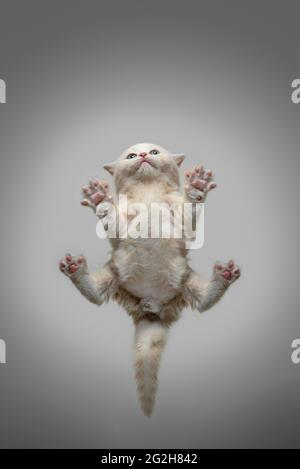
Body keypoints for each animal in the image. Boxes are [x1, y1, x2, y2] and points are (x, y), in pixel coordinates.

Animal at [59, 144, 241, 416]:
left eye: (154, 152)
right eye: (131, 156)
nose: (144, 156)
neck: (148, 192)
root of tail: (151, 308)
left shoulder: (182, 224)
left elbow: (189, 213)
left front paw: (197, 186)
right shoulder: (120, 230)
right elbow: (112, 223)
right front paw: (100, 199)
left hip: (186, 281)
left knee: (204, 302)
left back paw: (223, 276)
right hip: (113, 275)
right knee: (95, 295)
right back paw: (75, 269)